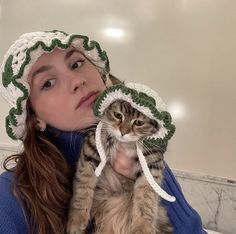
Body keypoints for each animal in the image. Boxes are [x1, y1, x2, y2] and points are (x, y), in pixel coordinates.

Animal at [67, 99, 172, 233]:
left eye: (138, 122)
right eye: (118, 115)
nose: (123, 132)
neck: (125, 144)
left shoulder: (151, 165)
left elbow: (146, 200)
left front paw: (142, 227)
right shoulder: (91, 152)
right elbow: (83, 189)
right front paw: (77, 219)